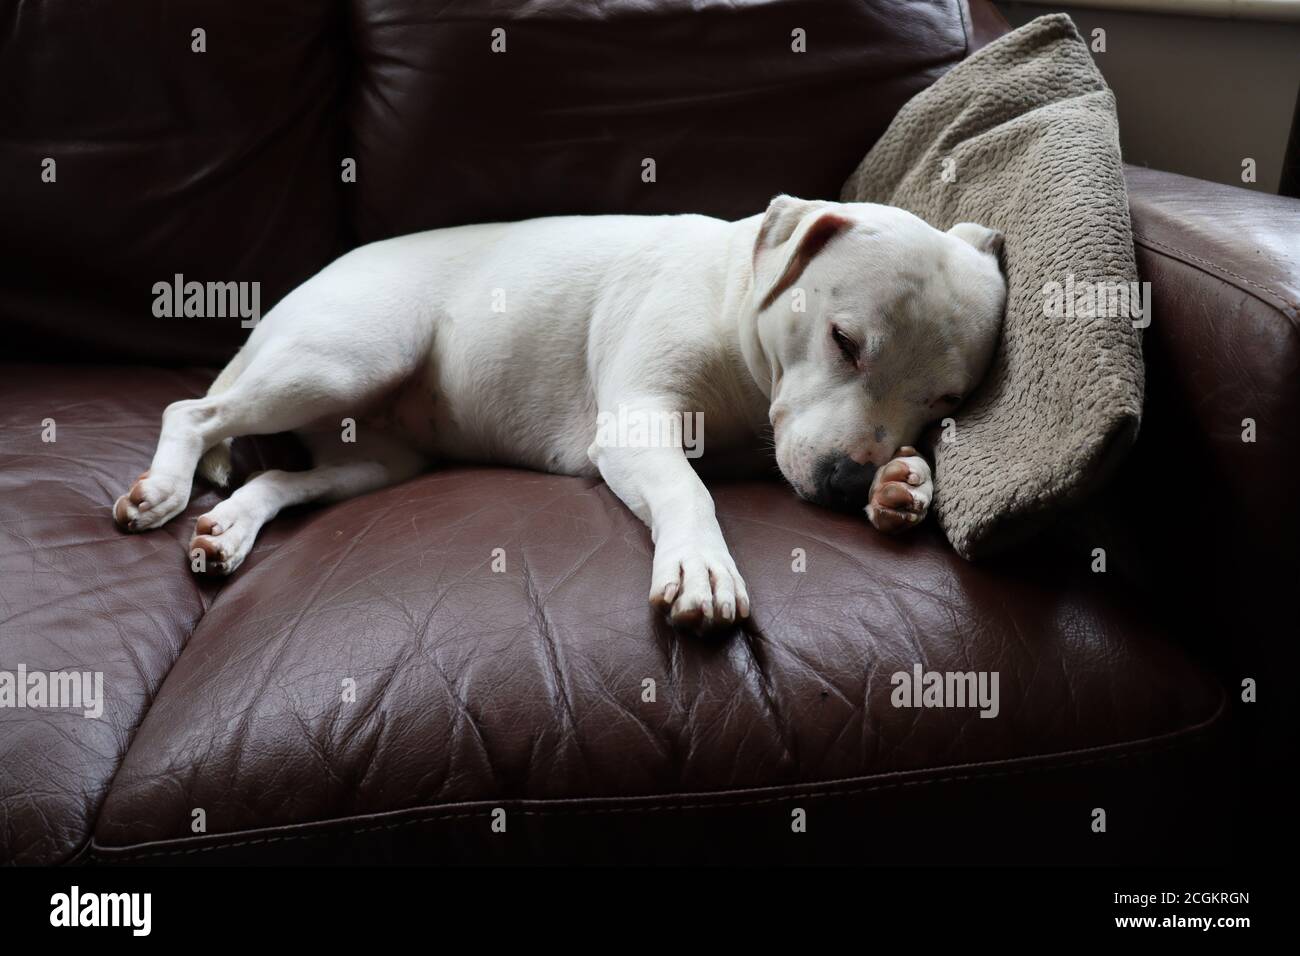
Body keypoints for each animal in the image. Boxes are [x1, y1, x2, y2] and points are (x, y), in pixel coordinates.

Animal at [111, 195, 1003, 632]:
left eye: (947, 401)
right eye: (845, 341)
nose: (847, 482)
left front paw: (904, 484)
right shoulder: (639, 422)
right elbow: (690, 492)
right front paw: (701, 568)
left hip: (375, 459)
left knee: (282, 481)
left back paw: (230, 527)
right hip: (345, 360)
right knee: (195, 411)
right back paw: (163, 489)